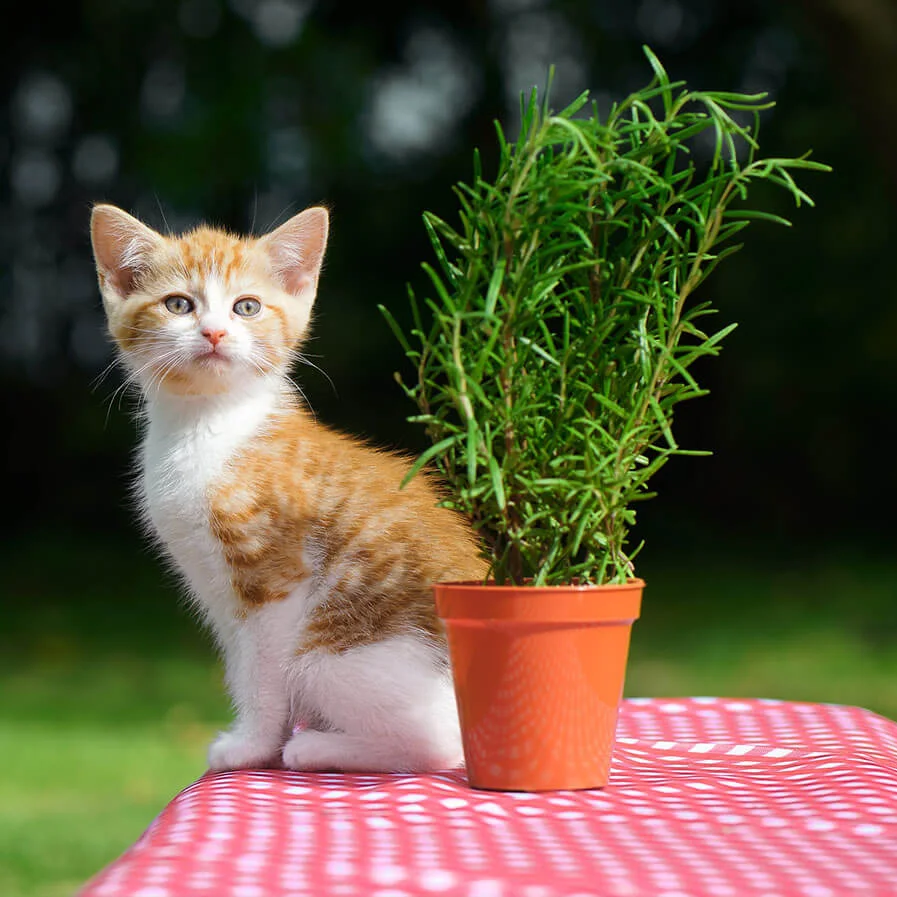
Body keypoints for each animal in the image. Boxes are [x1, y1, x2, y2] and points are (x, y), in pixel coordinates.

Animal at [87, 203, 486, 768]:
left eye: (247, 307)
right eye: (178, 304)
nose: (214, 333)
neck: (208, 428)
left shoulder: (275, 579)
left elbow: (264, 672)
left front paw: (252, 747)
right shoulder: (219, 592)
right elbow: (240, 664)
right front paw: (252, 736)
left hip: (333, 657)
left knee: (440, 744)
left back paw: (316, 747)